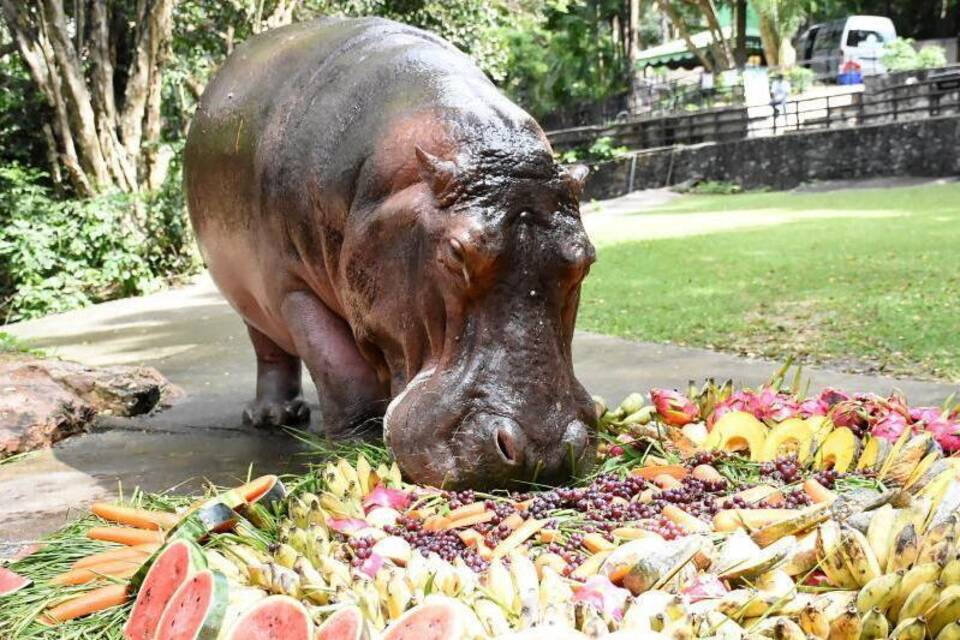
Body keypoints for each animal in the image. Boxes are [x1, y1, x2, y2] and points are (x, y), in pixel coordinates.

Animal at [184, 16, 596, 490]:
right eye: (456, 253)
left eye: (586, 258)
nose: (541, 451)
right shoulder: (294, 287)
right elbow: (340, 370)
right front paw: (358, 447)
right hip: (250, 298)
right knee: (269, 348)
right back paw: (273, 416)